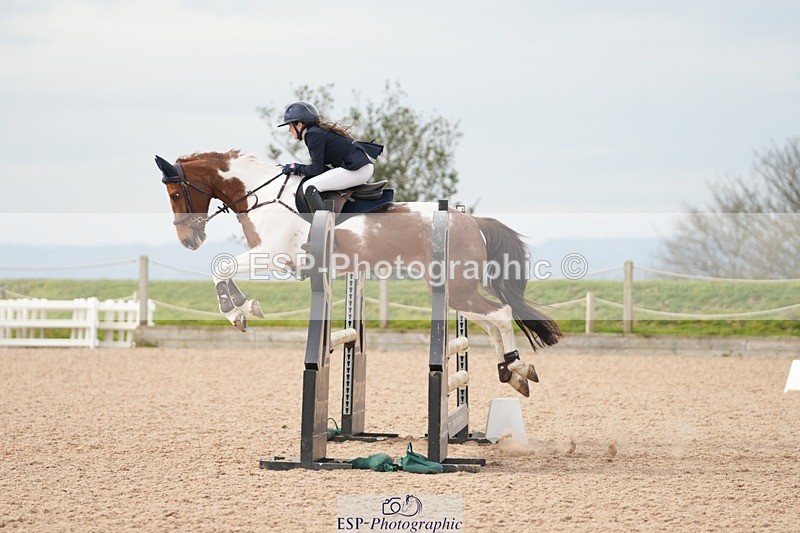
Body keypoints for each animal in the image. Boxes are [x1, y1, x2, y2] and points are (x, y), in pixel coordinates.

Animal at [155, 150, 562, 396]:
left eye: (175, 194)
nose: (188, 241)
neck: (261, 196)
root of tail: (472, 221)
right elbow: (222, 268)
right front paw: (243, 308)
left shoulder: (274, 255)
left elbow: (220, 265)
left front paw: (237, 311)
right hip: (454, 291)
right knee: (493, 321)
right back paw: (511, 371)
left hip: (458, 288)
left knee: (501, 313)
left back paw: (517, 367)